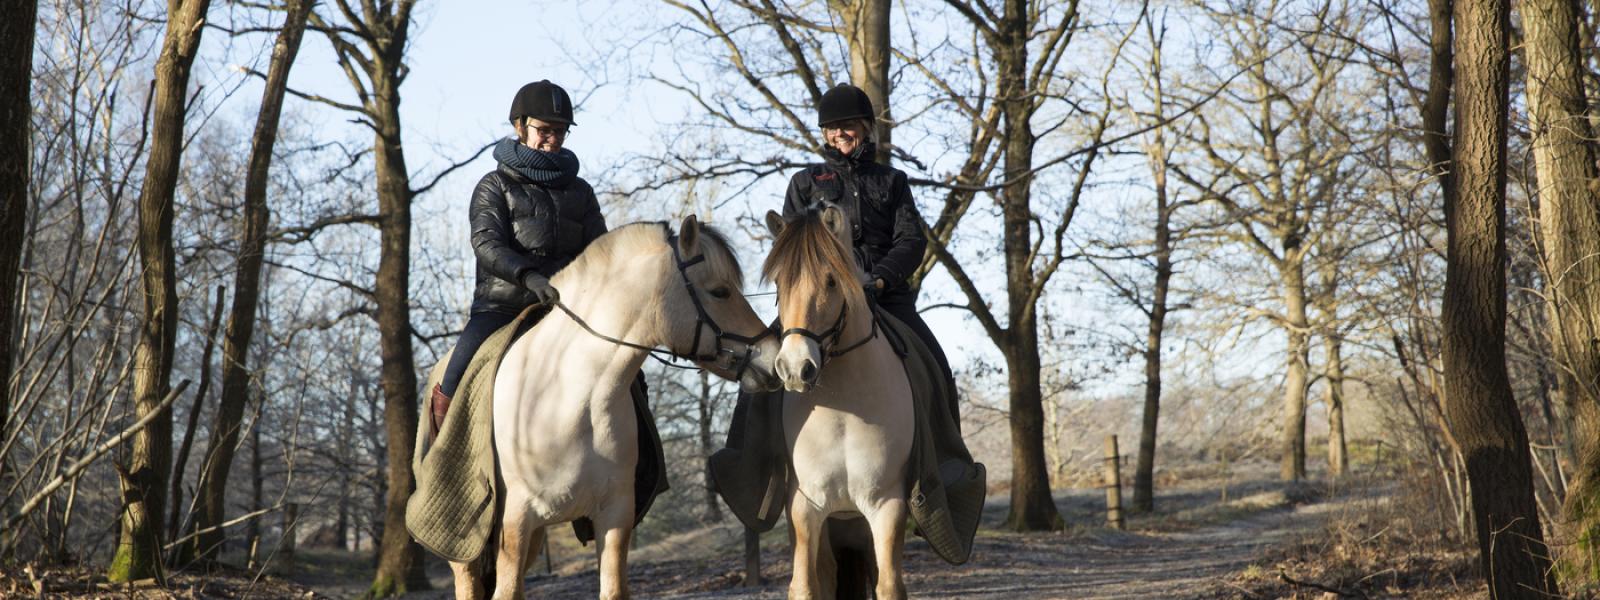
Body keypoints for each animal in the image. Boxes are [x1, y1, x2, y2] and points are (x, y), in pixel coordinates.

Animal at [451, 217, 780, 600]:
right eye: (720, 291)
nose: (774, 359)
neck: (569, 398)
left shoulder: (614, 515)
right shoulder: (516, 521)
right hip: (470, 546)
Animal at [768, 206, 921, 600]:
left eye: (832, 281)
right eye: (778, 284)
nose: (795, 368)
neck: (843, 412)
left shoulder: (886, 506)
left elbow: (888, 585)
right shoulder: (806, 507)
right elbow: (806, 586)